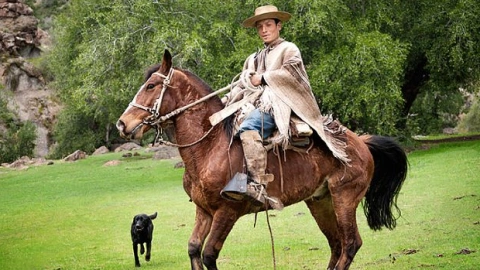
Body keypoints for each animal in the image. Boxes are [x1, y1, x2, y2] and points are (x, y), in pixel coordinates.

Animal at [117, 49, 408, 268]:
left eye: (151, 86)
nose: (122, 124)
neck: (210, 147)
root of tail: (361, 142)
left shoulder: (227, 212)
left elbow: (209, 255)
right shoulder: (204, 211)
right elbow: (193, 250)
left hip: (344, 198)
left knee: (350, 244)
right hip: (320, 201)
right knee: (336, 244)